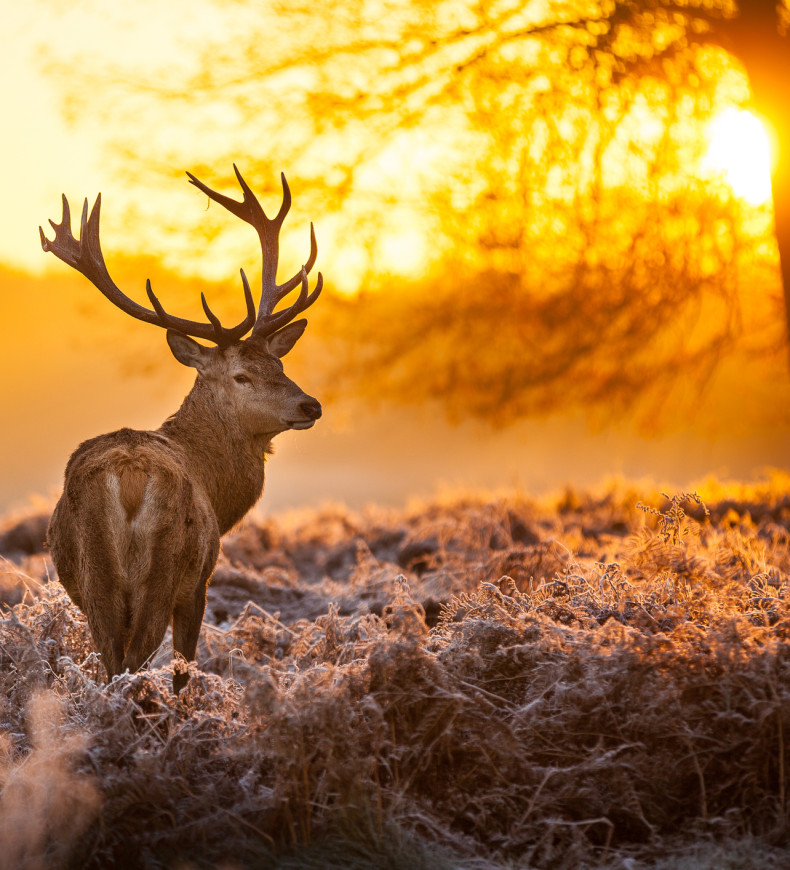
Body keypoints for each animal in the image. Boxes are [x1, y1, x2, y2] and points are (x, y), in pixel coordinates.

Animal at [40, 166, 322, 692]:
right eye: (242, 376)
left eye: (279, 363)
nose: (310, 404)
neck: (217, 488)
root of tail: (128, 477)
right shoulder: (200, 582)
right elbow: (183, 669)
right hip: (164, 568)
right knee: (134, 663)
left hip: (94, 578)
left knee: (112, 663)